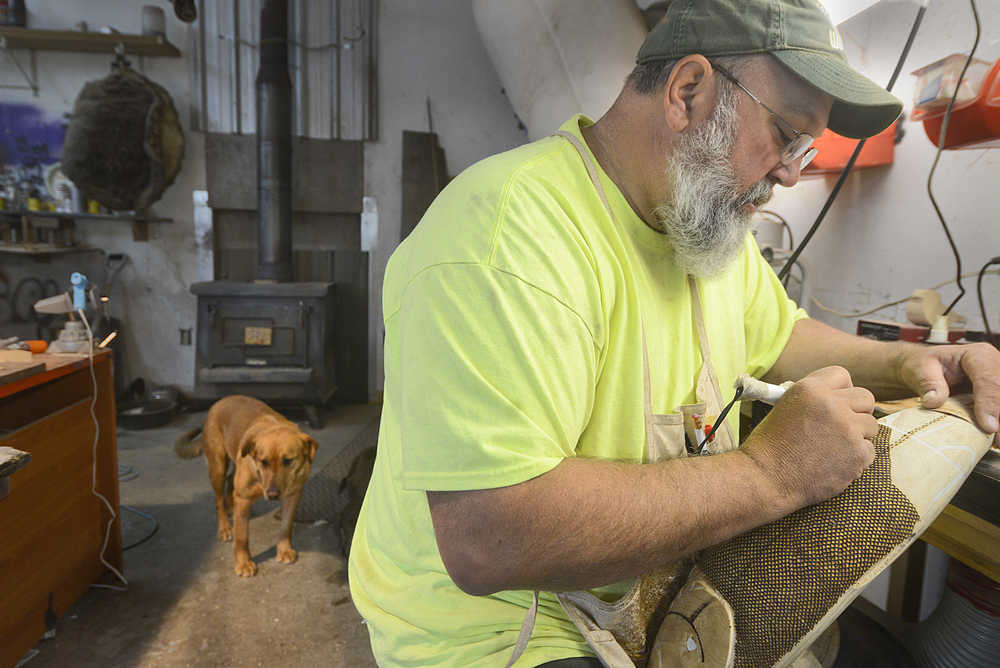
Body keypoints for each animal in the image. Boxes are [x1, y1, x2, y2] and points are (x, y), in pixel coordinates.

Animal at [176, 396, 316, 576]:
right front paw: (243, 564)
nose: (272, 495)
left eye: (288, 461)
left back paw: (231, 508)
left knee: (230, 482)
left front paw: (284, 550)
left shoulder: (293, 495)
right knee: (219, 500)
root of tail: (220, 401)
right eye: (263, 462)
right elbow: (242, 537)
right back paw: (224, 527)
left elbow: (286, 526)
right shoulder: (243, 498)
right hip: (218, 467)